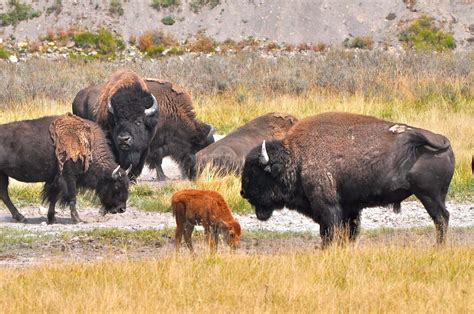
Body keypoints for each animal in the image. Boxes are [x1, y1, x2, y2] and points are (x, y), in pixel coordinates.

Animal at [0, 114, 130, 224]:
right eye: (116, 186)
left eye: (127, 185)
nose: (121, 209)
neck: (88, 146)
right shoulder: (69, 178)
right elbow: (72, 197)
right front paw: (78, 219)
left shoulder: (55, 180)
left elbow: (53, 198)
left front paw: (52, 219)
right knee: (5, 194)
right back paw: (21, 217)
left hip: (3, 175)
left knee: (4, 194)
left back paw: (20, 217)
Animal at [241, 111, 456, 247]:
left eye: (255, 172)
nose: (242, 193)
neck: (296, 157)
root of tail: (441, 139)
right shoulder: (350, 208)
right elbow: (349, 233)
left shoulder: (328, 207)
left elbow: (328, 233)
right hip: (435, 195)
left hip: (429, 196)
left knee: (441, 218)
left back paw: (438, 247)